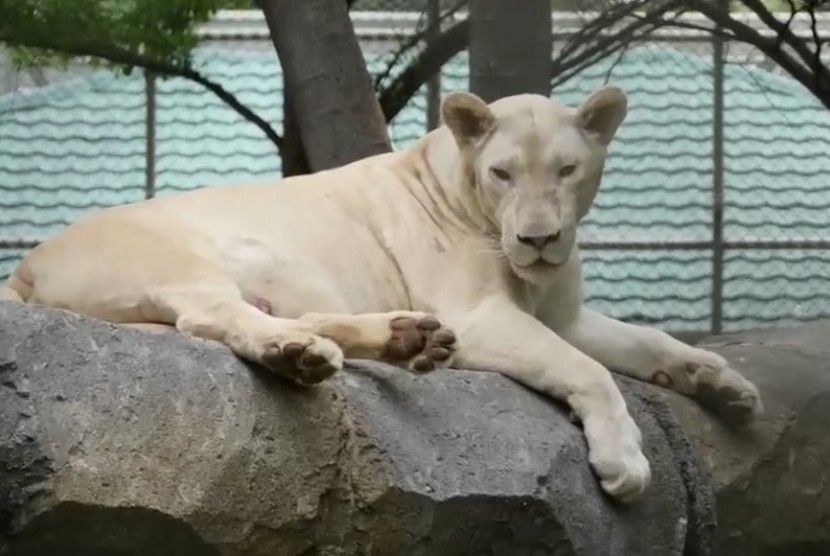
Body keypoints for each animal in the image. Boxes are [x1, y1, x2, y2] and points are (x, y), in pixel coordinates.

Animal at [1, 87, 768, 504]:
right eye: (502, 173)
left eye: (566, 170)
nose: (539, 238)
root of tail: (29, 265)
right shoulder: (482, 315)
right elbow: (590, 371)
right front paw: (625, 462)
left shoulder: (566, 314)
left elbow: (649, 341)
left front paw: (726, 386)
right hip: (182, 262)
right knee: (215, 317)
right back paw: (303, 354)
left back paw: (407, 339)